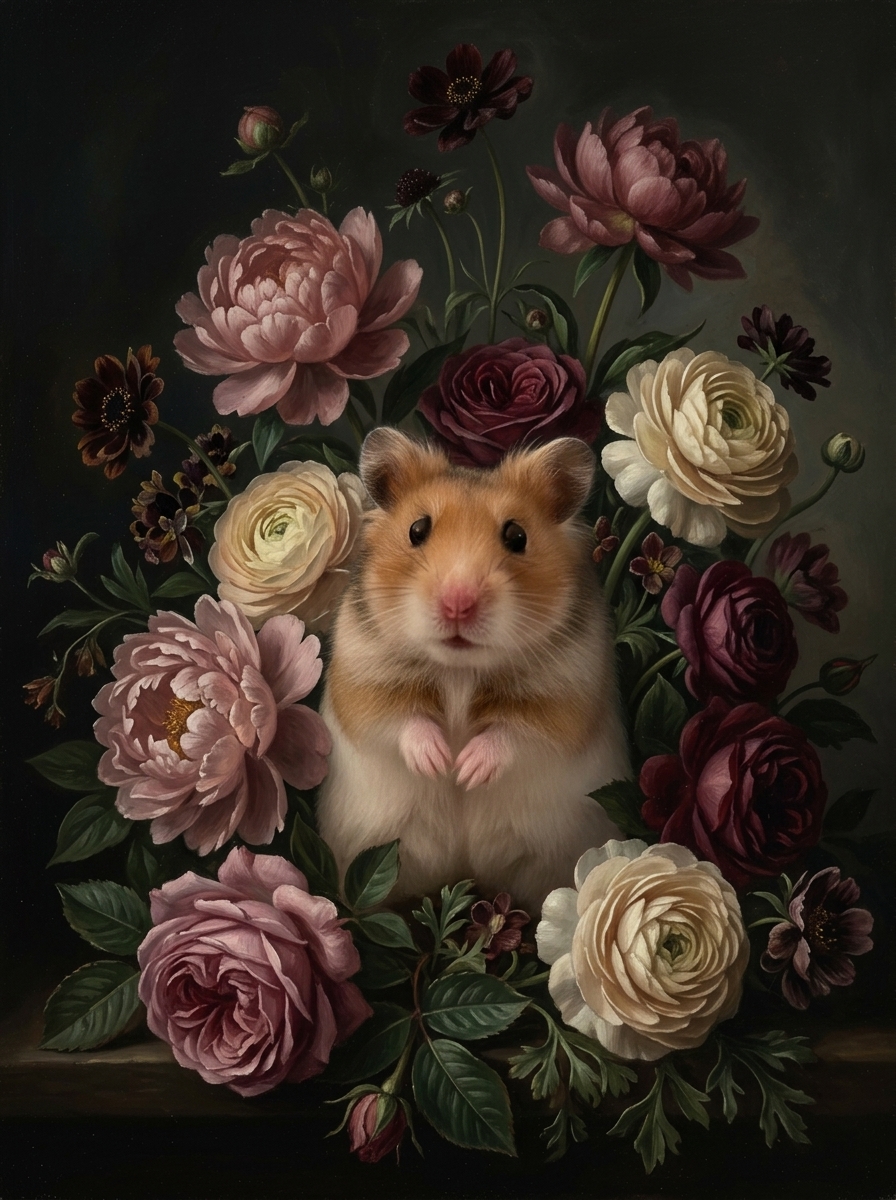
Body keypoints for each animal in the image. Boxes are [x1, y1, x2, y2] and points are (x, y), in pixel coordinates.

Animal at [316, 428, 630, 912]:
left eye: (517, 535)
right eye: (417, 529)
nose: (458, 603)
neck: (459, 671)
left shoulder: (568, 697)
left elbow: (515, 734)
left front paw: (465, 770)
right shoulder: (362, 680)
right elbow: (400, 720)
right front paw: (439, 763)